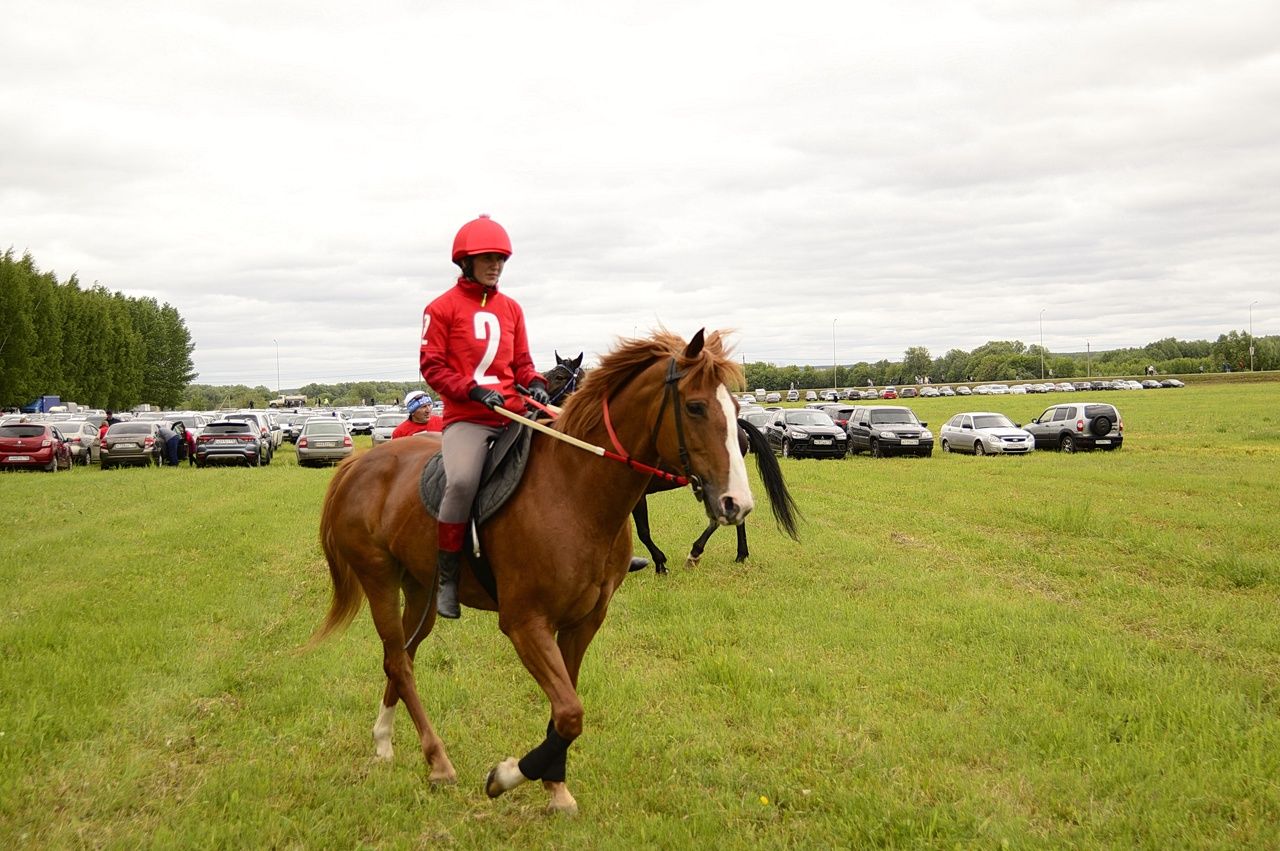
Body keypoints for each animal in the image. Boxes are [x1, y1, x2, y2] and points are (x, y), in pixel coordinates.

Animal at [309, 327, 747, 813]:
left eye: (736, 410)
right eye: (695, 407)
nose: (736, 503)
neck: (574, 491)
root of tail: (357, 465)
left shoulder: (583, 622)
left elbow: (565, 709)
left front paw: (555, 787)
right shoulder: (525, 624)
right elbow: (570, 713)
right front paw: (507, 776)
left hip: (420, 590)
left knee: (400, 656)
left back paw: (384, 740)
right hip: (379, 579)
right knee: (399, 662)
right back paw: (438, 761)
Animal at [545, 348, 793, 573]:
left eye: (560, 377)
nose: (538, 393)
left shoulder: (637, 497)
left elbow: (643, 531)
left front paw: (660, 563)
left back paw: (696, 552)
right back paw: (741, 553)